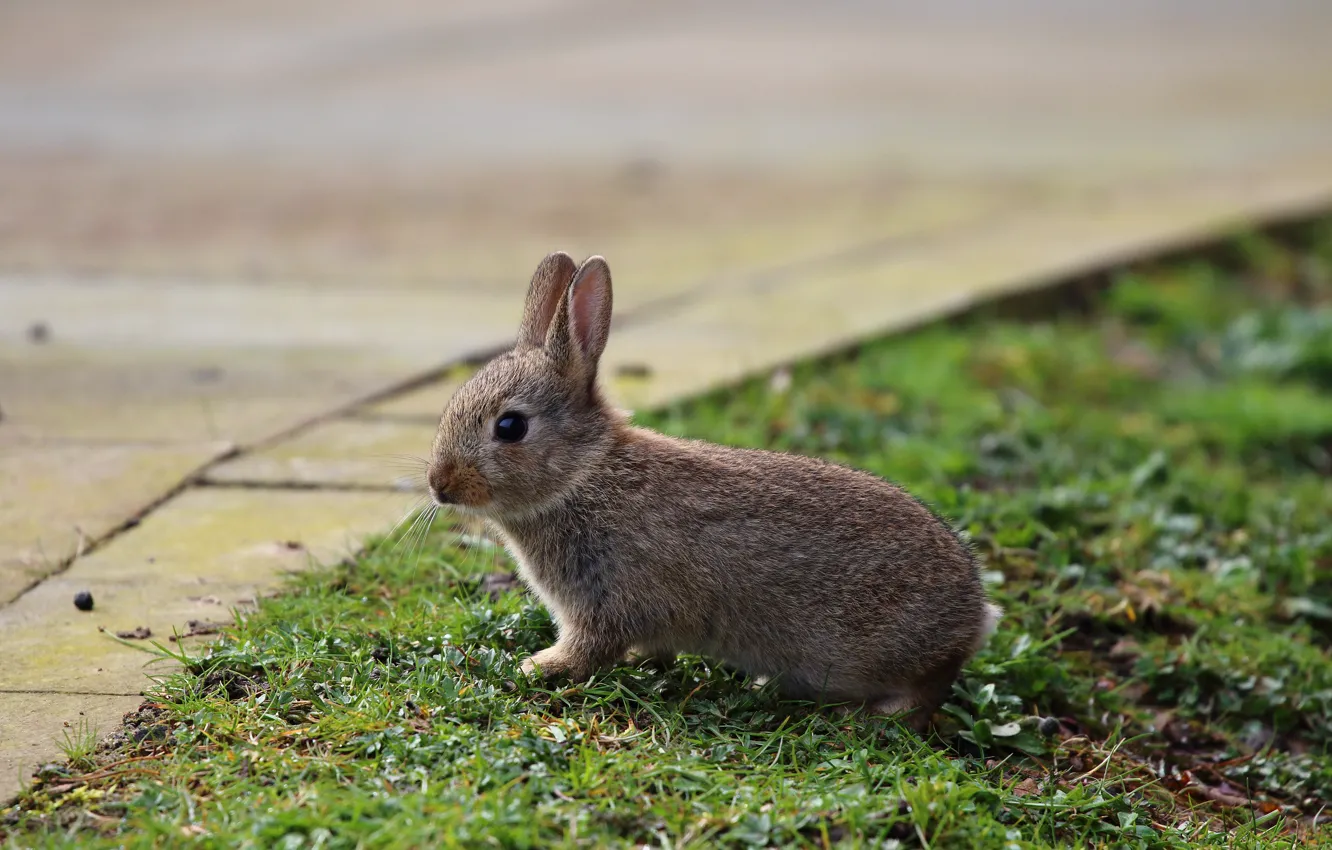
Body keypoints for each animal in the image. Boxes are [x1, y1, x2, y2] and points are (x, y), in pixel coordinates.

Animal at [427, 251, 1001, 729]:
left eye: (510, 427)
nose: (439, 485)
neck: (582, 475)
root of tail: (973, 617)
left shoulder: (604, 603)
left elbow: (589, 650)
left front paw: (537, 667)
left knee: (928, 691)